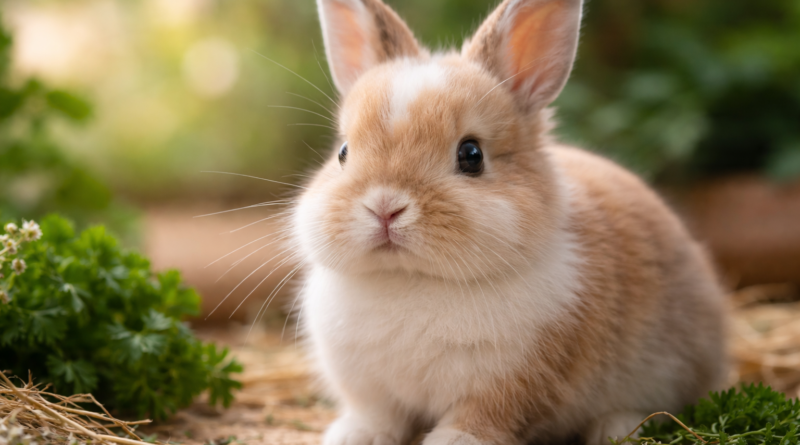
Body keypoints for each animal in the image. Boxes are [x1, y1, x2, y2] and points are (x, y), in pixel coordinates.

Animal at [290, 0, 728, 444]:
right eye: (343, 152)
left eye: (471, 155)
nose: (385, 206)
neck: (411, 278)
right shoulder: (371, 391)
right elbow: (376, 417)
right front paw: (351, 436)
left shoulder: (509, 386)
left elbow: (480, 419)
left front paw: (452, 441)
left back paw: (616, 427)